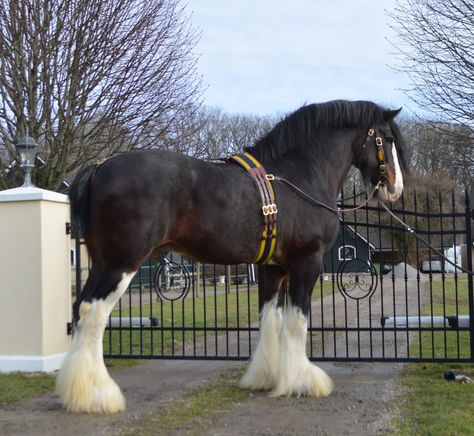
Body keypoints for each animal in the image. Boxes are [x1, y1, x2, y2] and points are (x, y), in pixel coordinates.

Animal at [56, 99, 408, 412]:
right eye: (387, 138)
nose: (396, 188)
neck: (299, 176)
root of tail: (99, 167)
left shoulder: (273, 269)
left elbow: (271, 320)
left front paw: (266, 378)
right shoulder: (307, 262)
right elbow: (297, 322)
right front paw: (302, 382)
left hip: (102, 263)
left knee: (79, 308)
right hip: (122, 263)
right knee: (93, 313)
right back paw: (98, 396)